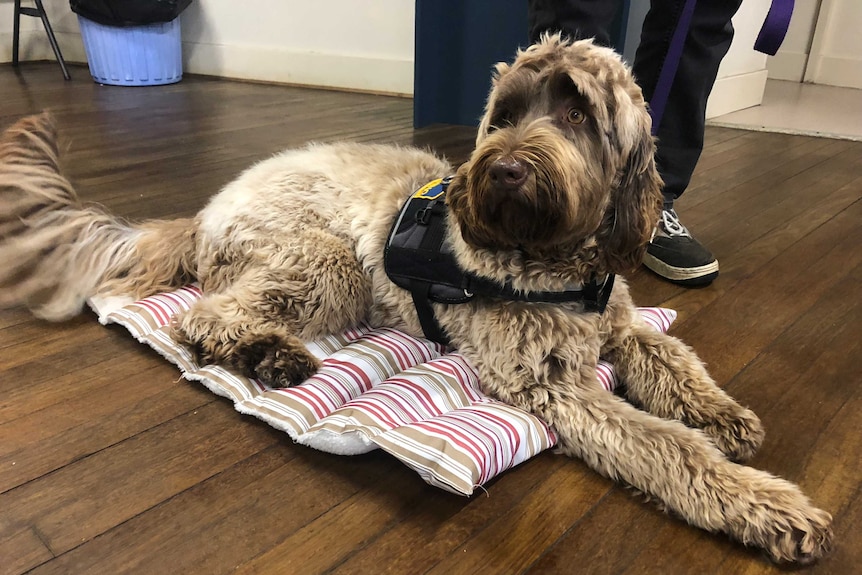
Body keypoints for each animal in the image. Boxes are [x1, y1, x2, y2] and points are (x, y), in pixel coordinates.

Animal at [1, 35, 836, 564]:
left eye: (577, 113)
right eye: (506, 113)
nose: (502, 169)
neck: (555, 259)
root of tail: (206, 209)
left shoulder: (622, 327)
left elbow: (674, 359)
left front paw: (723, 413)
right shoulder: (551, 384)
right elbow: (668, 447)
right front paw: (762, 504)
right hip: (328, 262)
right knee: (201, 315)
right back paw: (267, 354)